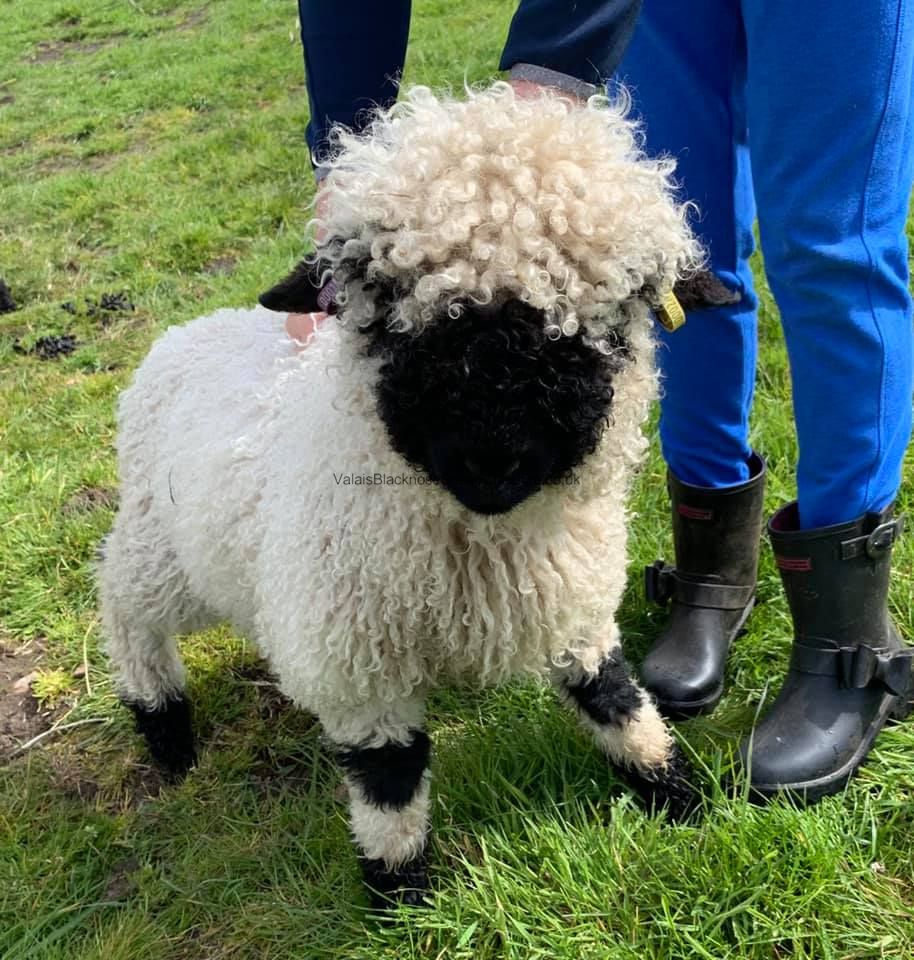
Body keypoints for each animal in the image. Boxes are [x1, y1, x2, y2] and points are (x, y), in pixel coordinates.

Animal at [99, 83, 704, 907]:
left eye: (602, 322)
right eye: (390, 311)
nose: (491, 456)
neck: (478, 543)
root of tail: (181, 336)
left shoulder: (573, 606)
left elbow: (615, 700)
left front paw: (676, 792)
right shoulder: (360, 668)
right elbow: (390, 782)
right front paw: (401, 899)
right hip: (164, 553)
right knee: (122, 603)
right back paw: (164, 727)